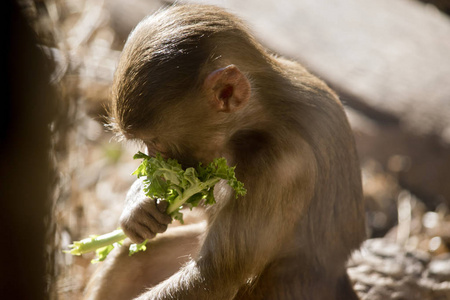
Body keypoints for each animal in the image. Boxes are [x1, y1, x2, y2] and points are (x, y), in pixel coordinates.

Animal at [84, 2, 366, 300]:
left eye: (157, 143)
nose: (154, 160)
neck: (258, 122)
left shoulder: (280, 167)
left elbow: (214, 276)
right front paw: (139, 206)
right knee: (127, 258)